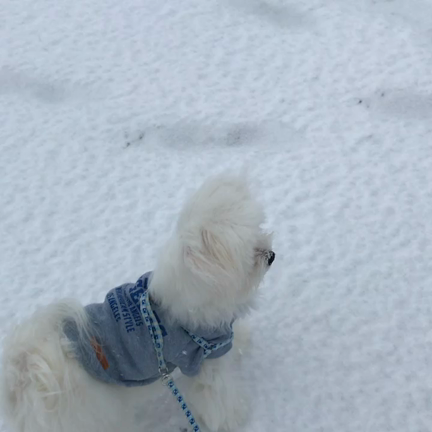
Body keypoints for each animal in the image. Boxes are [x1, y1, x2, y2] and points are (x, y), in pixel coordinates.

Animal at [1, 173, 274, 432]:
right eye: (252, 253)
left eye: (259, 234)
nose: (272, 255)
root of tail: (22, 376)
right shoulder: (201, 359)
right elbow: (217, 395)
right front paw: (235, 417)